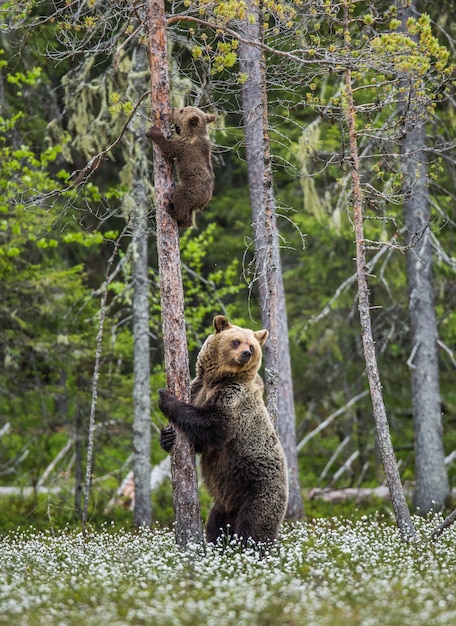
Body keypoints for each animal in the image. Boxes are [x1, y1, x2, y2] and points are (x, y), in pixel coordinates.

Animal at [159, 314, 286, 544]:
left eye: (251, 346)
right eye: (236, 341)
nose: (245, 353)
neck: (218, 379)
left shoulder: (234, 397)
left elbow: (214, 426)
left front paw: (165, 396)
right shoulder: (198, 388)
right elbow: (200, 440)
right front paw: (167, 436)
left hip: (259, 491)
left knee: (254, 528)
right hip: (222, 505)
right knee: (215, 527)